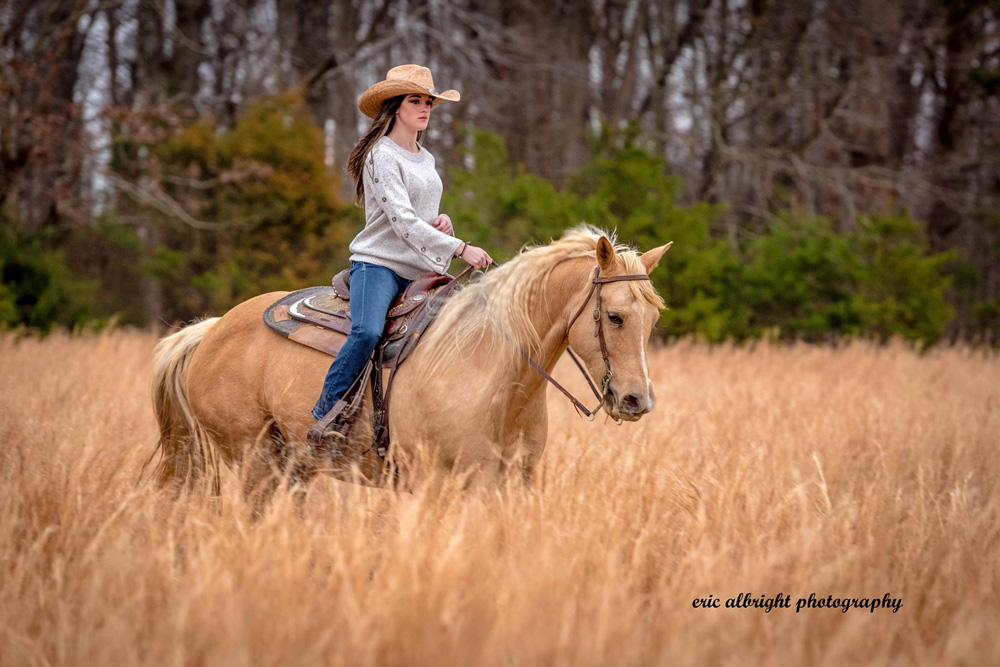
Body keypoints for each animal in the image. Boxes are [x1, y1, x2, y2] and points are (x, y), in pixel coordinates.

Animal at [148, 226, 672, 500]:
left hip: (292, 464)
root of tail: (212, 330)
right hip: (254, 459)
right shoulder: (441, 482)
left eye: (652, 319)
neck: (491, 368)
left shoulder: (513, 481)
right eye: (614, 316)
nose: (636, 400)